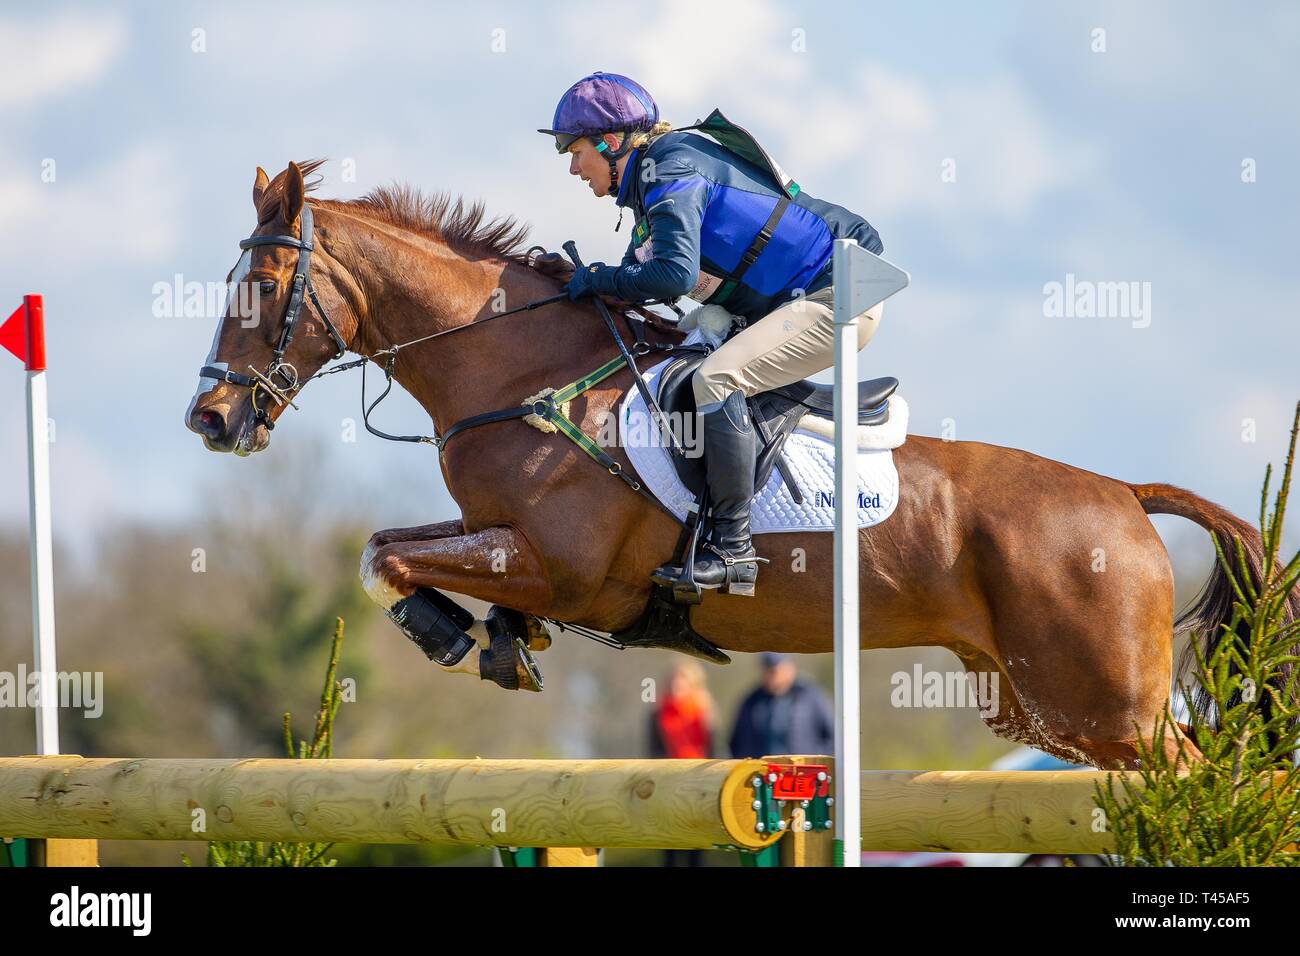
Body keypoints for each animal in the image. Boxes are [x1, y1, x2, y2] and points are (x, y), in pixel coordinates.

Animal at [185, 162, 1289, 770]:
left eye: (264, 284)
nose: (210, 417)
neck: (526, 374)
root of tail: (1122, 495)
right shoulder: (504, 539)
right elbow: (386, 546)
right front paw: (492, 637)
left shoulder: (564, 566)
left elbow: (396, 560)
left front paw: (460, 635)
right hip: (1044, 707)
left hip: (1107, 706)